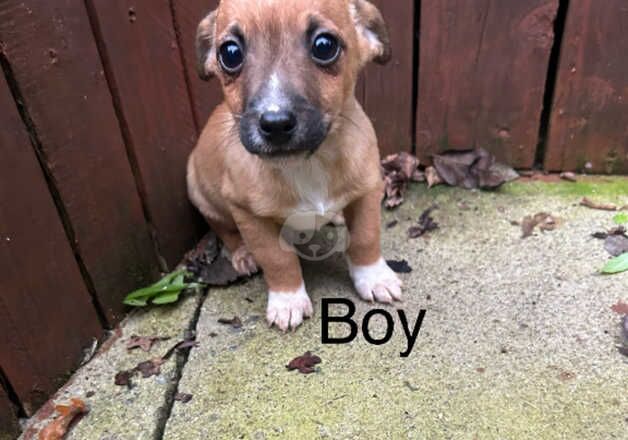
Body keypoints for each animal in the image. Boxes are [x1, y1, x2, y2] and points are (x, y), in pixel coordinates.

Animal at [189, 0, 402, 330]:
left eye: (324, 46)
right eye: (230, 53)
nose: (275, 124)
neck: (309, 162)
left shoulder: (367, 190)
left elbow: (366, 238)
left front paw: (374, 277)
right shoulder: (249, 215)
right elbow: (277, 259)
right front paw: (288, 299)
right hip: (204, 197)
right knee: (225, 231)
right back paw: (242, 254)